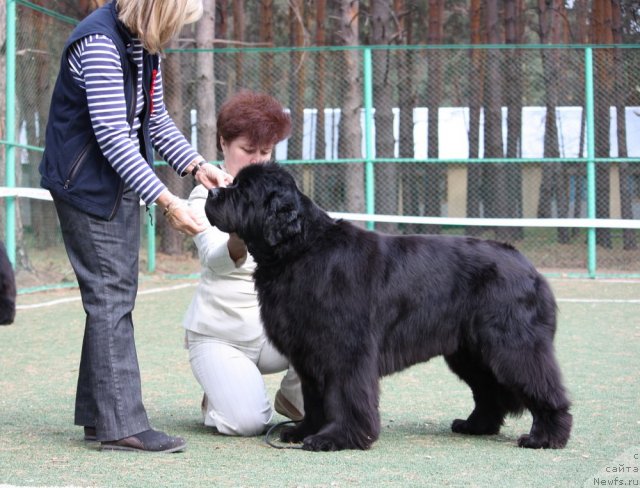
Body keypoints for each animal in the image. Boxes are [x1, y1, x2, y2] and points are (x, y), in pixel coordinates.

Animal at [205, 162, 568, 452]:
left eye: (242, 190)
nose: (211, 192)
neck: (301, 249)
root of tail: (529, 267)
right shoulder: (309, 350)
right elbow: (315, 398)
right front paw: (304, 431)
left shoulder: (346, 349)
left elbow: (345, 395)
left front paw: (337, 438)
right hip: (470, 351)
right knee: (489, 391)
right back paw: (475, 426)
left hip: (512, 344)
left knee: (540, 384)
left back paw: (546, 436)